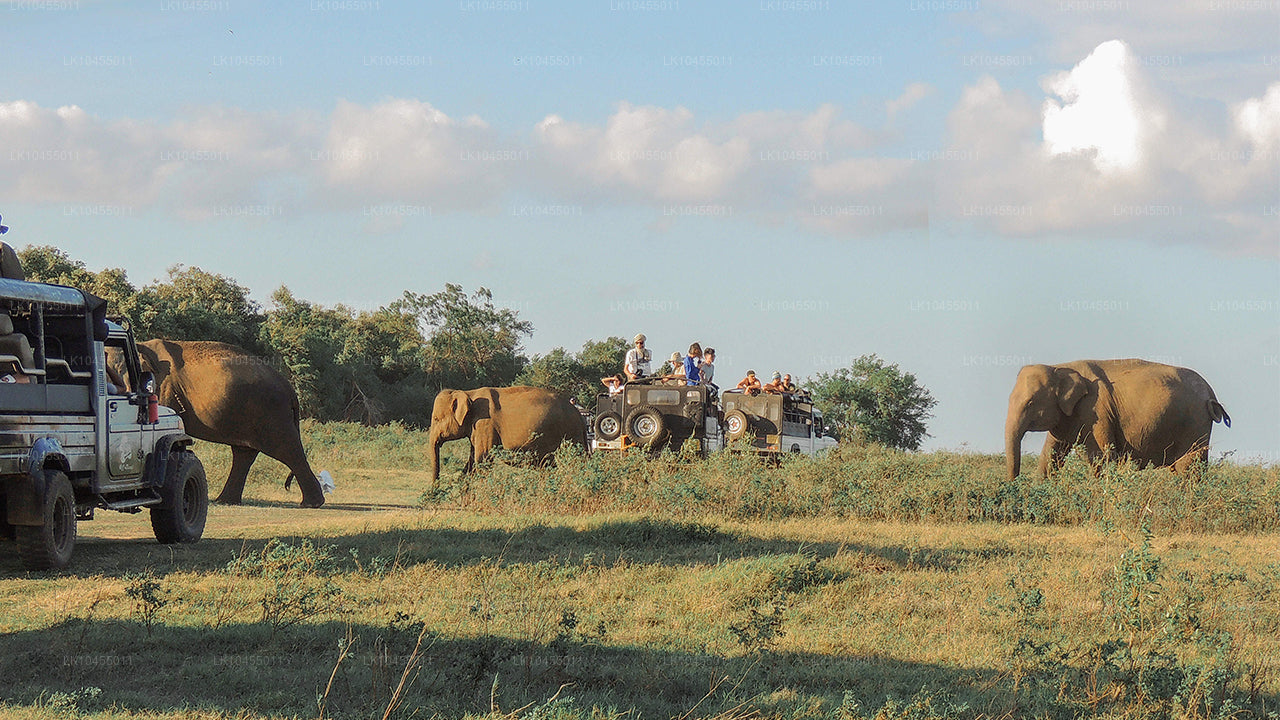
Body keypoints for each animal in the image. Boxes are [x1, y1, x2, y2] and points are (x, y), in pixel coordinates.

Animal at [128, 340, 327, 504]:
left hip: (272, 412)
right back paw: (225, 501)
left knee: (287, 449)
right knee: (244, 454)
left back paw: (312, 503)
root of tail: (290, 389)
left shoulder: (163, 391)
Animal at [430, 384, 588, 479]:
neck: (469, 393)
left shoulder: (485, 424)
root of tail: (578, 413)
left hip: (570, 432)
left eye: (436, 419)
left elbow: (482, 459)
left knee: (575, 462)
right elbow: (471, 461)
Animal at [1008, 356, 1228, 479]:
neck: (1059, 367)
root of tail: (1211, 393)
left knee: (1188, 469)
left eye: (1030, 403)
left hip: (1195, 424)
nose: (1015, 484)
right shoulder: (1067, 416)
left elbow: (1101, 458)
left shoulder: (1095, 411)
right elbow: (1051, 454)